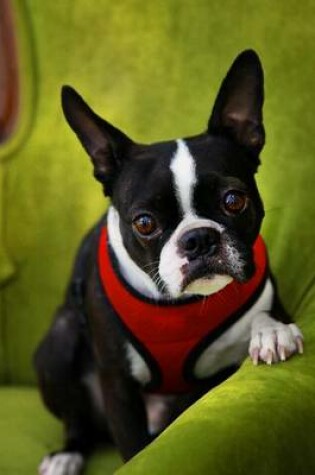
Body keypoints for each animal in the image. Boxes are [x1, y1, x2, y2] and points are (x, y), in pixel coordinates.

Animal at [34, 51, 304, 475]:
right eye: (144, 223)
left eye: (234, 200)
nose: (199, 239)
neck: (185, 306)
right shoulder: (119, 385)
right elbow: (134, 447)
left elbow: (267, 315)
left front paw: (272, 332)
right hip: (58, 343)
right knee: (76, 418)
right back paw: (66, 453)